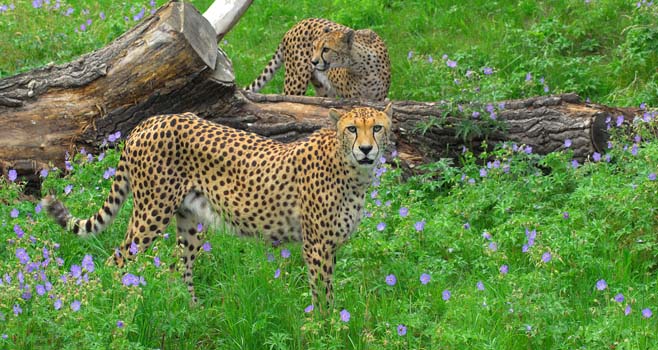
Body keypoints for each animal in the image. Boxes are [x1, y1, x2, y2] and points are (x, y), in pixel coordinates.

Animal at [43, 105, 392, 308]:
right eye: (352, 128)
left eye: (377, 127)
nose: (366, 149)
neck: (352, 170)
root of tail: (151, 120)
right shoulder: (317, 246)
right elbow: (322, 295)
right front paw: (326, 328)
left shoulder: (330, 246)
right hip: (151, 213)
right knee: (117, 261)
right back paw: (116, 308)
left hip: (191, 220)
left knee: (177, 267)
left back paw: (193, 313)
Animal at [246, 18, 390, 101]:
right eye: (314, 47)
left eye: (326, 49)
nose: (313, 62)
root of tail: (295, 25)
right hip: (295, 84)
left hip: (323, 90)